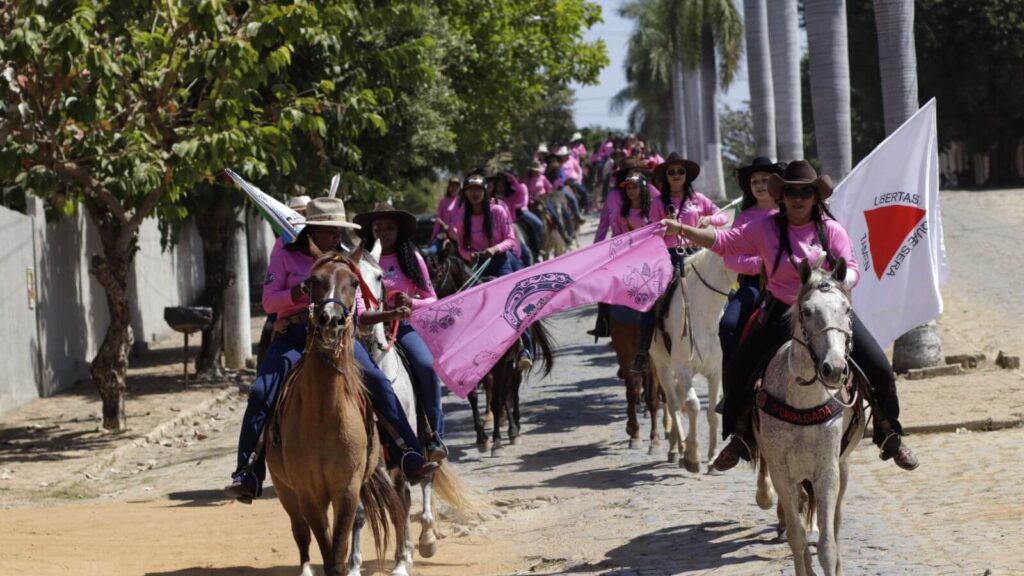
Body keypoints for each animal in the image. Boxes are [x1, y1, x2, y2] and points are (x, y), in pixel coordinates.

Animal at [266, 253, 405, 573]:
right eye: (312, 282)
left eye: (353, 283)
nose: (330, 318)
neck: (323, 416)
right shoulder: (309, 493)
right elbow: (326, 552)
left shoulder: (347, 490)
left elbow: (339, 551)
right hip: (284, 489)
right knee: (300, 532)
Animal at [757, 259, 868, 573]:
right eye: (807, 311)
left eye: (847, 309)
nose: (834, 368)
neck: (802, 405)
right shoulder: (782, 473)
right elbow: (797, 538)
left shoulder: (827, 471)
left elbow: (827, 545)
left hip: (843, 467)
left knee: (837, 522)